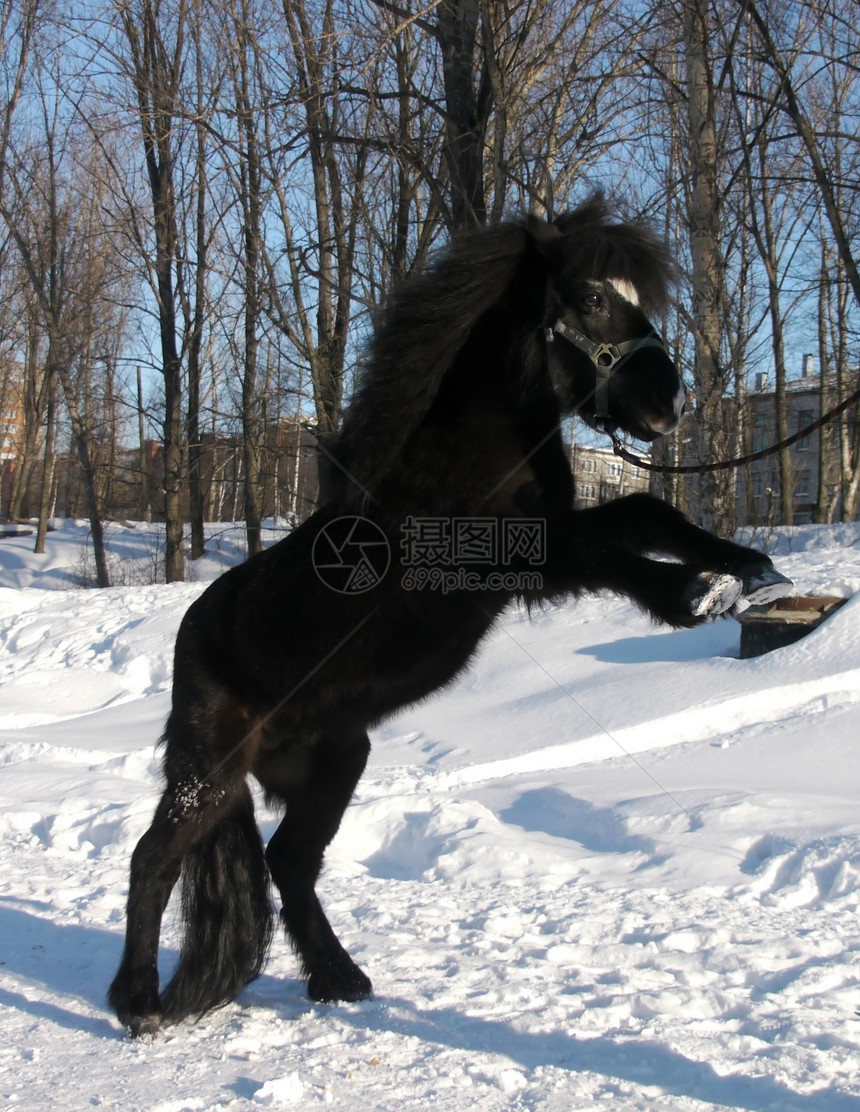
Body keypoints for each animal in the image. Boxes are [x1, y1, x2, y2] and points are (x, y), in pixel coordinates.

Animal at [109, 195, 792, 1036]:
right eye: (592, 297)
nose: (672, 404)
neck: (469, 450)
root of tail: (193, 633)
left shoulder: (557, 528)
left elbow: (645, 512)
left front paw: (750, 568)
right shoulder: (511, 557)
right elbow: (609, 553)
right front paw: (694, 594)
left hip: (334, 760)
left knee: (288, 862)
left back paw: (340, 978)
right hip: (208, 768)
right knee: (154, 858)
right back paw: (138, 1004)